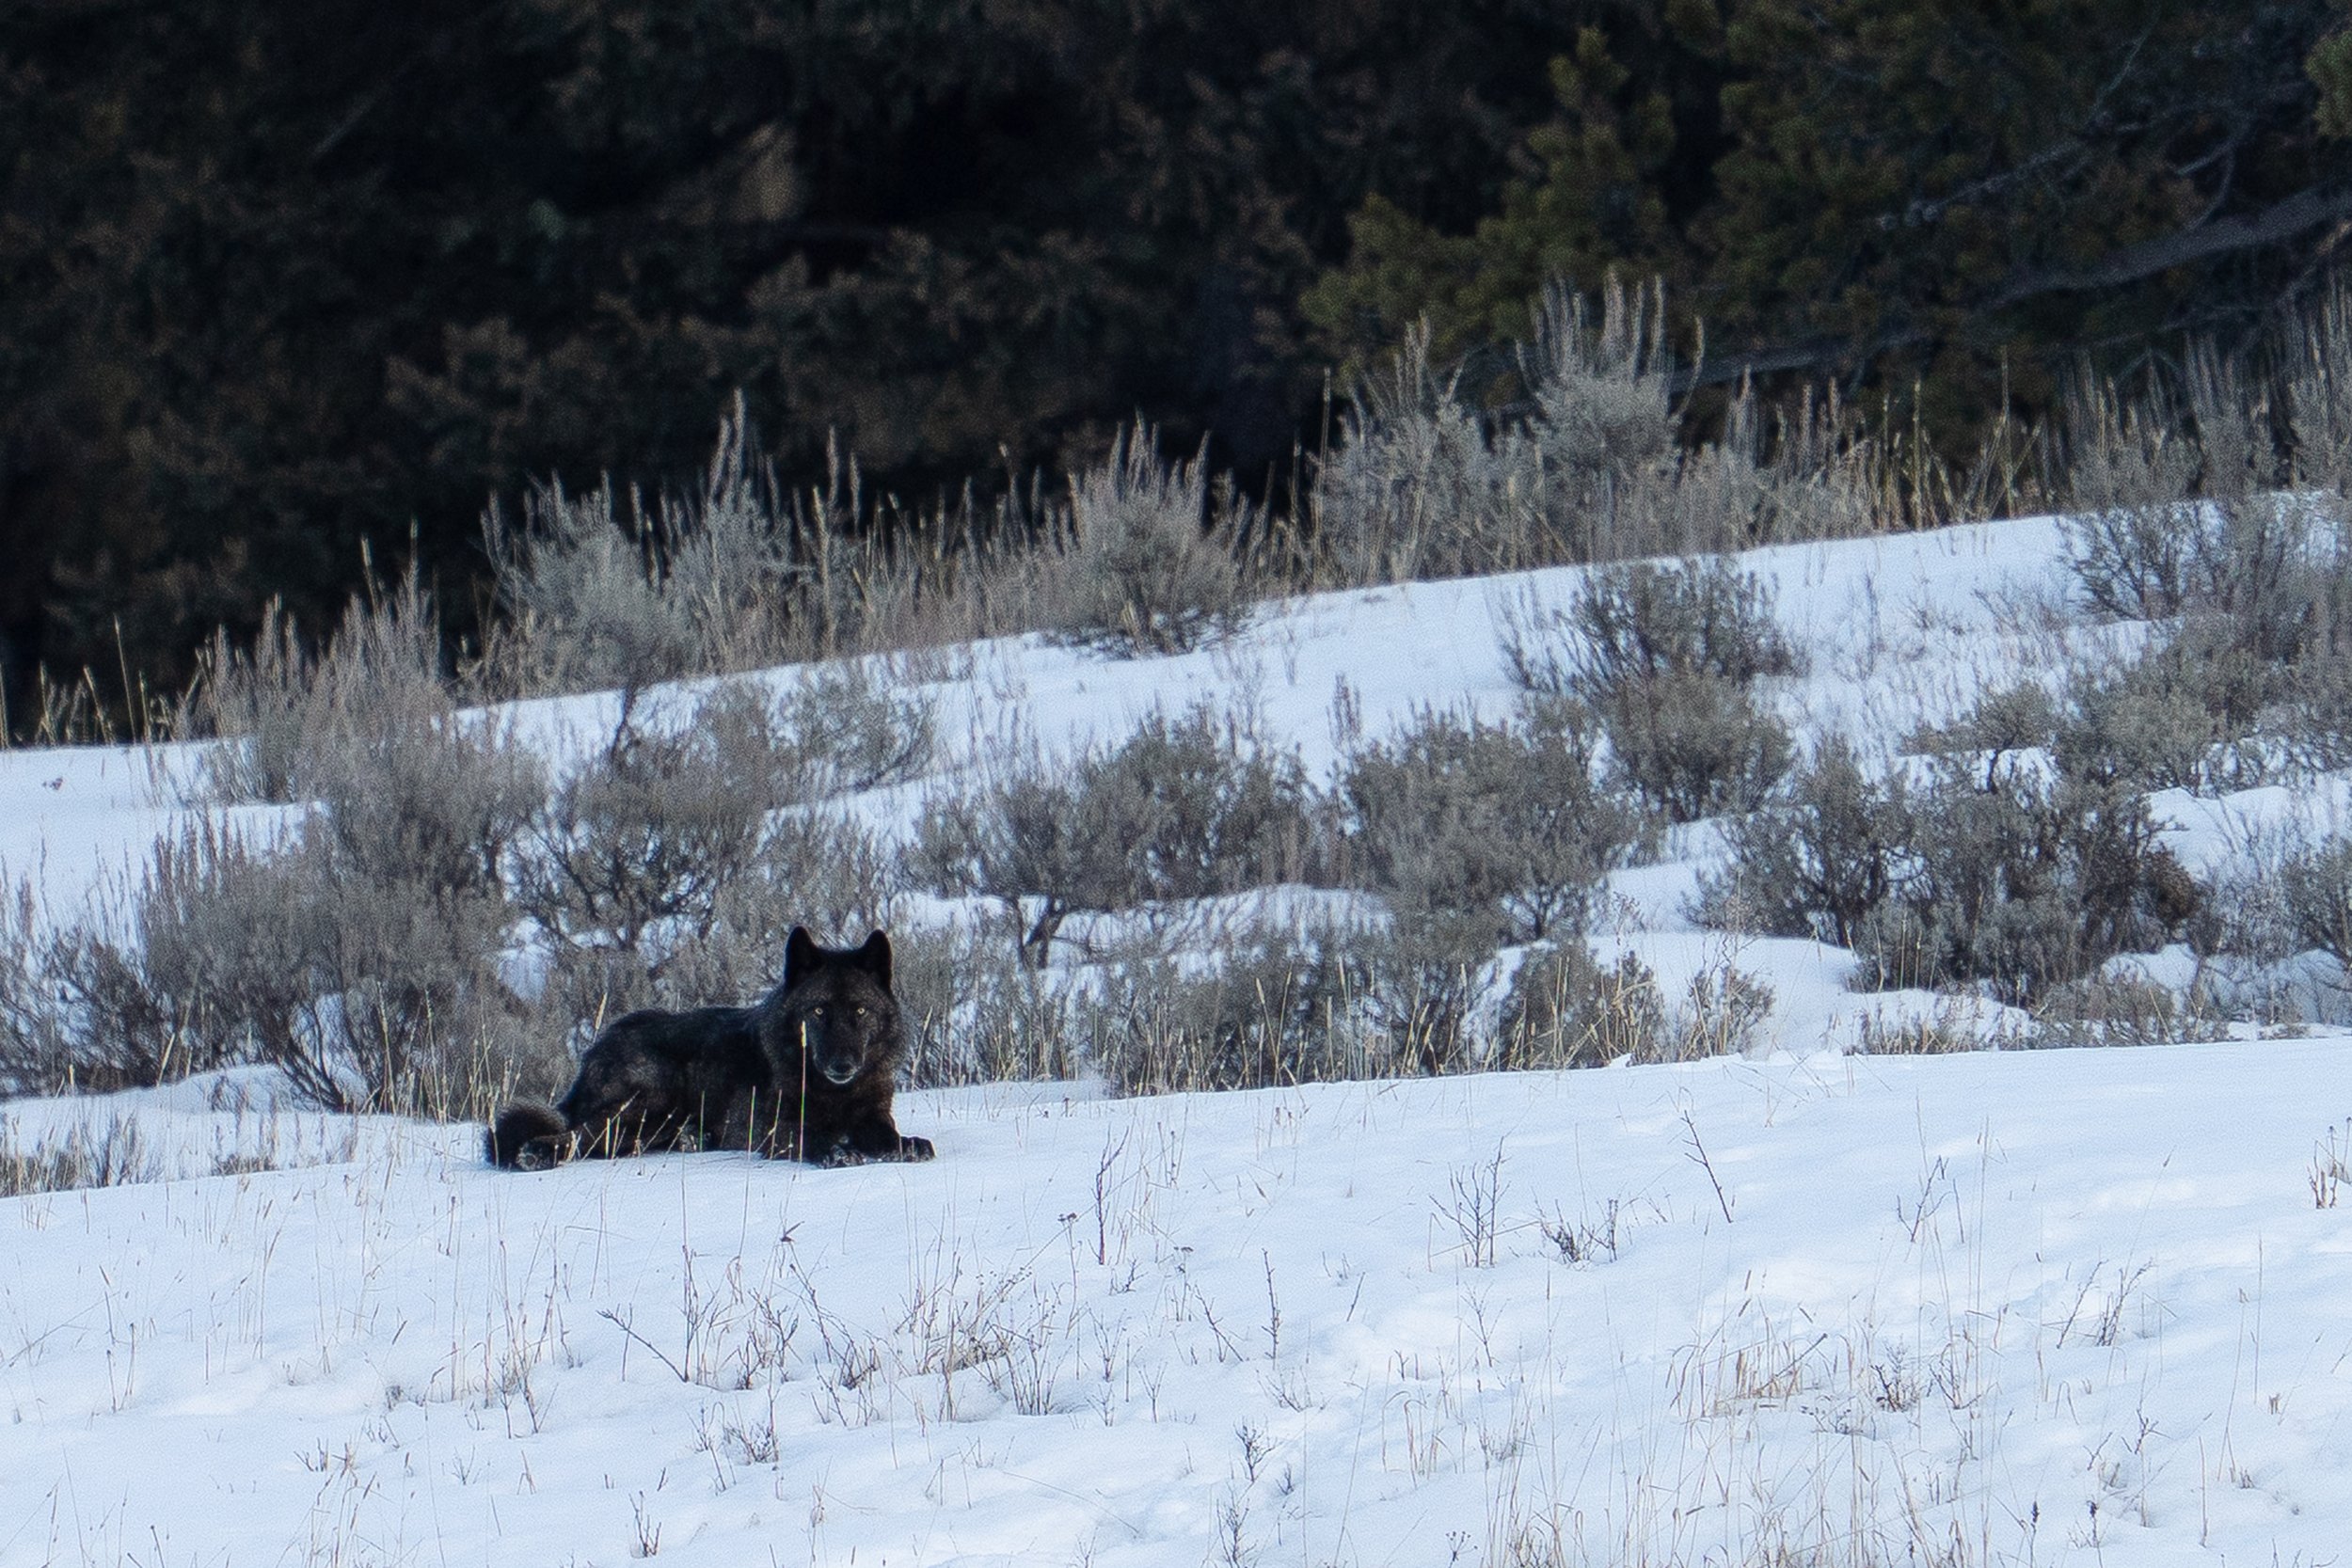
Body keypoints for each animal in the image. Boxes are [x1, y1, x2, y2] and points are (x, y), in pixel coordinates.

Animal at [486, 928, 934, 1170]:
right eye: (819, 1010)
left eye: (859, 1010)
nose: (842, 1064)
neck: (834, 1091)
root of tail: (596, 1048)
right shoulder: (770, 1128)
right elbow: (811, 1136)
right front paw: (838, 1152)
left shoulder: (874, 1115)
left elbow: (889, 1136)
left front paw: (906, 1146)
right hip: (655, 1093)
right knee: (577, 1136)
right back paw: (535, 1153)